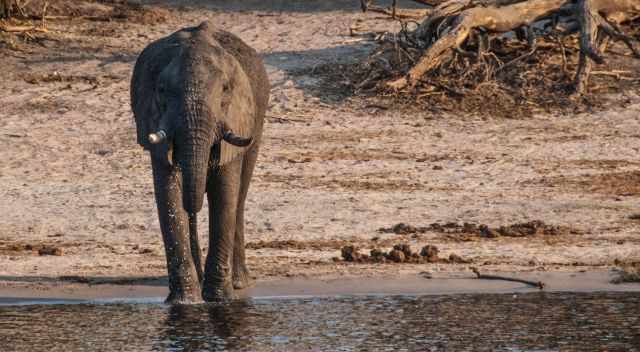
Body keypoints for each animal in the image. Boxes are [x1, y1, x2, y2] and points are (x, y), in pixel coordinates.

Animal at [130, 21, 270, 302]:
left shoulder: (236, 118)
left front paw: (218, 299)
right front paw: (185, 301)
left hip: (257, 122)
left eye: (226, 89)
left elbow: (225, 193)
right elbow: (169, 193)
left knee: (240, 195)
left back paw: (238, 282)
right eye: (161, 90)